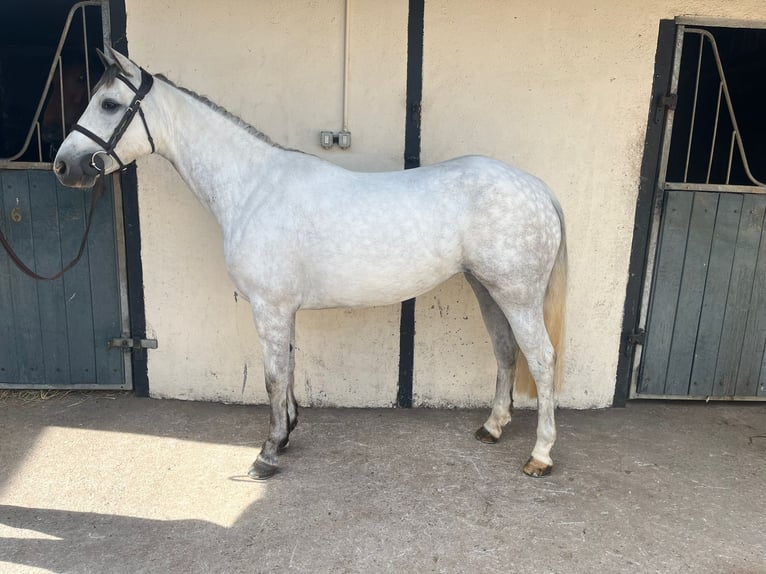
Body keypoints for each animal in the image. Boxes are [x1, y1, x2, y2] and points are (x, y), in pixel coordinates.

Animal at [53, 47, 568, 480]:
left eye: (110, 104)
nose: (62, 166)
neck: (253, 187)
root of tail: (537, 188)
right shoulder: (283, 310)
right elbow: (289, 368)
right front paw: (287, 433)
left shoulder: (269, 307)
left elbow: (272, 376)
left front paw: (268, 452)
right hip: (488, 290)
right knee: (505, 351)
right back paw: (493, 427)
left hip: (518, 296)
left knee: (541, 360)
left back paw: (540, 455)